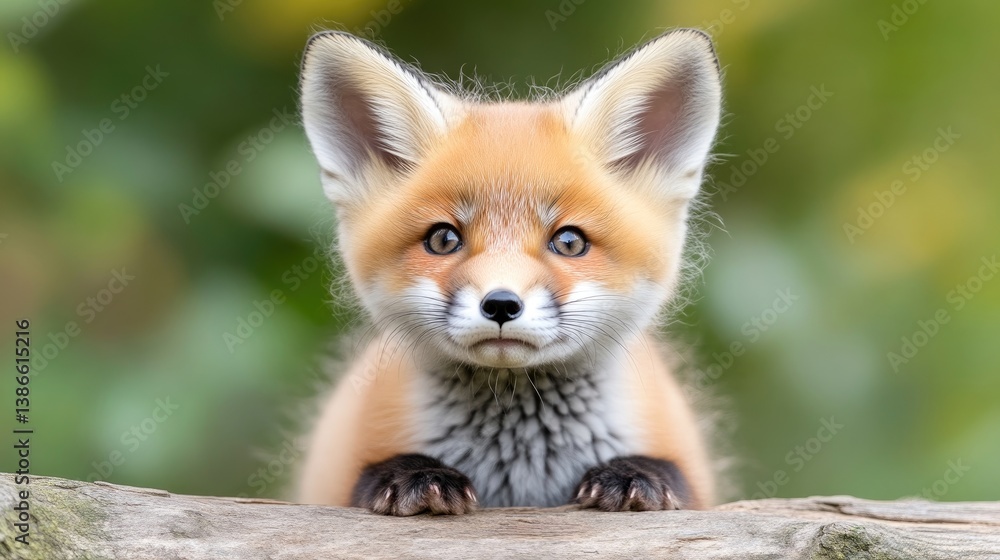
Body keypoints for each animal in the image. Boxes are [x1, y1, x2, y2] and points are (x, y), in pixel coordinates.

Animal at [295, 28, 723, 515]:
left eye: (569, 242)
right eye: (443, 240)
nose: (500, 304)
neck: (520, 459)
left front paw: (633, 474)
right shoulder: (330, 481)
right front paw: (415, 476)